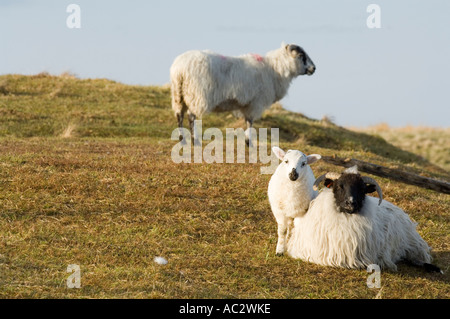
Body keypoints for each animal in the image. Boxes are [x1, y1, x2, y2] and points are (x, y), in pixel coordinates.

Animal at [170, 43, 316, 146]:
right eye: (301, 56)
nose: (314, 68)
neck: (274, 70)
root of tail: (179, 69)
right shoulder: (255, 102)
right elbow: (250, 122)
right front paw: (249, 142)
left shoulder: (247, 104)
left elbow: (247, 121)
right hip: (196, 94)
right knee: (191, 116)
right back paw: (195, 141)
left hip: (179, 95)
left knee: (179, 115)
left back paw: (182, 140)